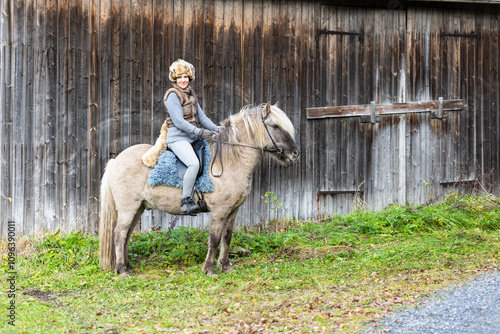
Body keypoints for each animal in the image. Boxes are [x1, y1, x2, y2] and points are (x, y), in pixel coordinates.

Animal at [99, 103, 298, 276]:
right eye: (275, 126)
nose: (295, 153)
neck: (231, 159)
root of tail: (115, 161)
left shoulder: (233, 210)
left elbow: (227, 237)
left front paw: (225, 266)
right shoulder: (219, 210)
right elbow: (215, 238)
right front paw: (209, 268)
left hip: (138, 208)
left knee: (126, 234)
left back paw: (127, 265)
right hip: (128, 208)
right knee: (119, 234)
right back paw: (122, 270)